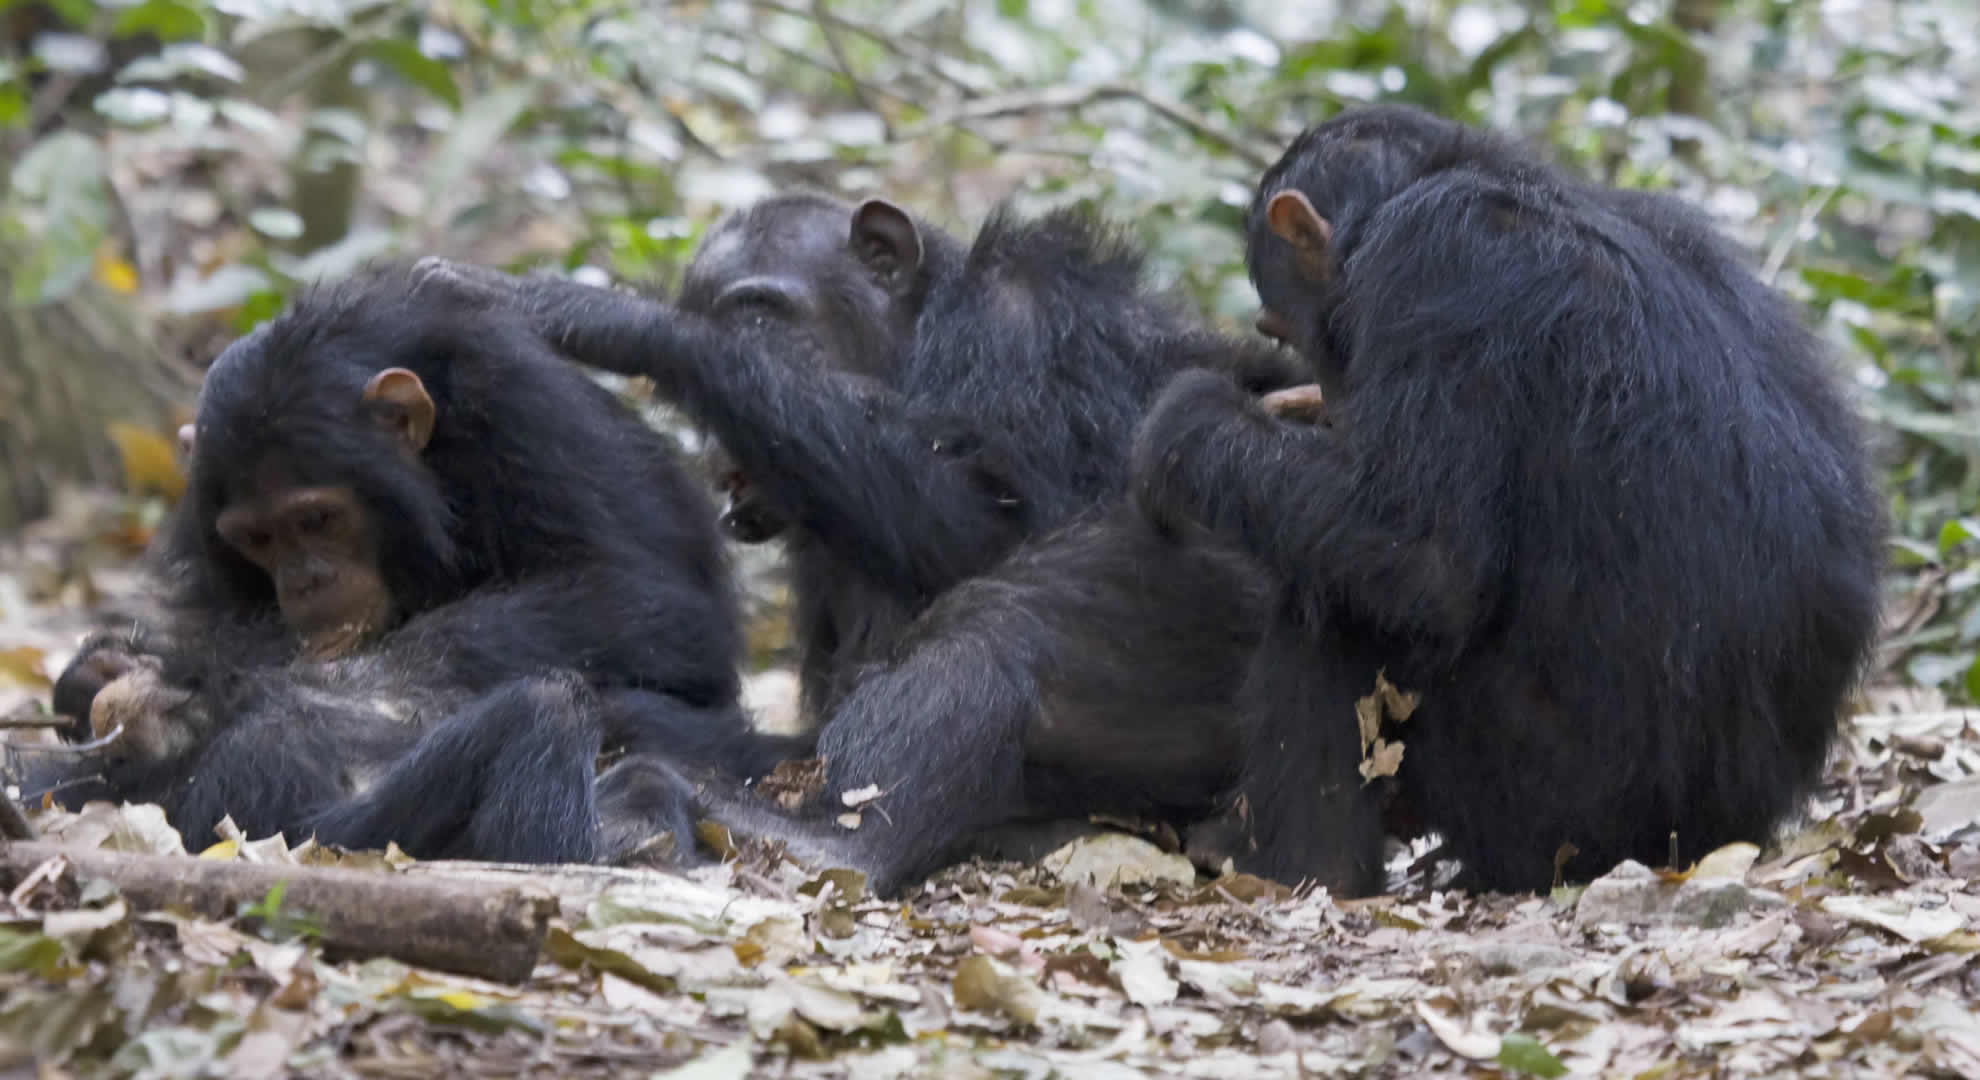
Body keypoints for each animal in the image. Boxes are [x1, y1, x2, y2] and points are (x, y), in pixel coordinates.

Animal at [25, 265, 795, 864]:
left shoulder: (527, 413)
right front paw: (111, 672)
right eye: (257, 539)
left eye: (316, 519)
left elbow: (647, 598)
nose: (306, 582)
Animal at [413, 198, 1314, 887]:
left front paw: (606, 317)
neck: (917, 343)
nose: (718, 456)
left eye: (757, 316)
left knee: (1008, 617)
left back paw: (827, 844)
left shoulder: (1029, 325)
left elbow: (1013, 515)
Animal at [1132, 103, 1884, 891]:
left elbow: (1422, 556)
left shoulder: (1431, 262)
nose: (1333, 391)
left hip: (1556, 815)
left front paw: (1187, 422)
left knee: (1333, 605)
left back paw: (1295, 868)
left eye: (1278, 328)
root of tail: (1720, 836)